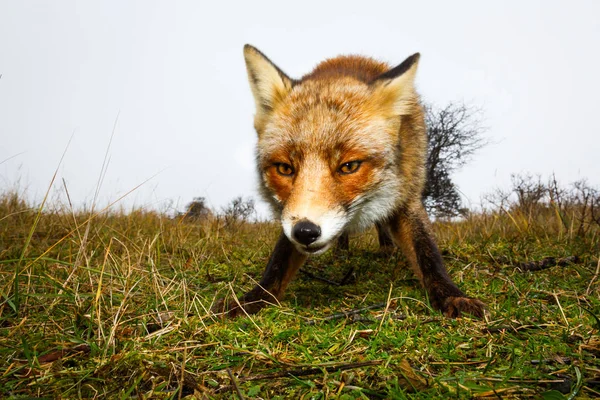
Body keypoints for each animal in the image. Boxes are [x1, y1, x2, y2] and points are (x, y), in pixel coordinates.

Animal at [213, 43, 486, 318]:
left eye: (349, 166)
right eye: (285, 168)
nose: (305, 232)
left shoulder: (407, 195)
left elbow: (427, 254)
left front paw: (453, 296)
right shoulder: (289, 214)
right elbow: (277, 265)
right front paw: (250, 300)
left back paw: (387, 249)